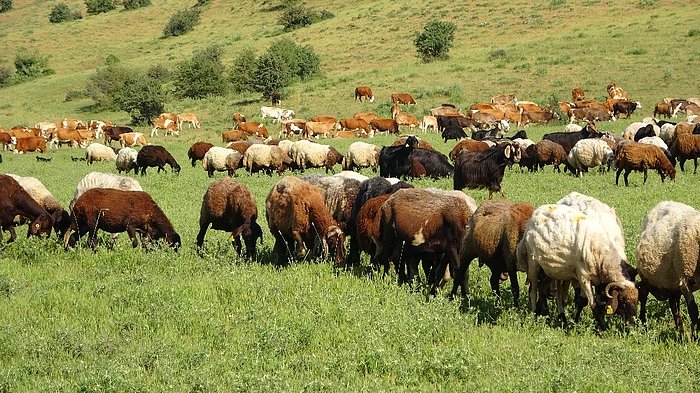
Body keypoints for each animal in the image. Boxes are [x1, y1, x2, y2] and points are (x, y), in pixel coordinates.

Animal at [636, 201, 700, 338]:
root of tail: (663, 202)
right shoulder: (685, 280)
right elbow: (693, 311)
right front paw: (695, 336)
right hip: (647, 277)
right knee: (643, 297)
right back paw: (644, 325)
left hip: (672, 281)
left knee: (673, 304)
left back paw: (680, 332)